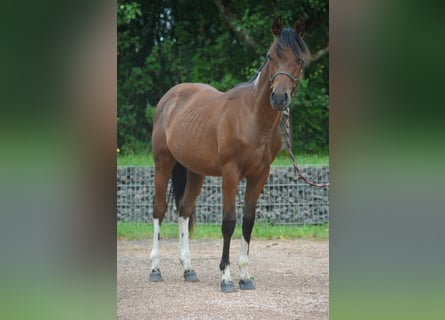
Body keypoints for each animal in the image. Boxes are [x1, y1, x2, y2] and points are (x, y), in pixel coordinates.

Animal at [148, 16, 308, 294]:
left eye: (298, 59)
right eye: (270, 56)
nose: (279, 98)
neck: (253, 119)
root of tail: (169, 98)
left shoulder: (259, 176)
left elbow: (247, 221)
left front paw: (245, 276)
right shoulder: (230, 173)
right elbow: (229, 222)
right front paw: (226, 277)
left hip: (195, 172)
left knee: (184, 210)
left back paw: (188, 269)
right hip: (163, 162)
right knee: (159, 210)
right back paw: (155, 269)